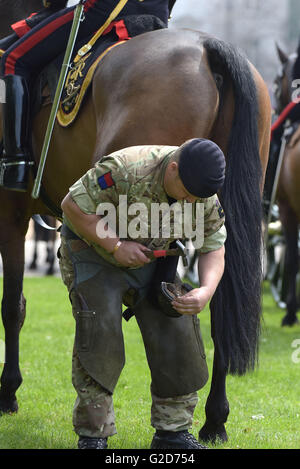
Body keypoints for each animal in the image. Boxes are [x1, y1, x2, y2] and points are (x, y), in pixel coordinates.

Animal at [0, 0, 272, 446]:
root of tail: (208, 48)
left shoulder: (9, 211)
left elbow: (12, 306)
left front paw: (8, 391)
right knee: (216, 305)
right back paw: (214, 420)